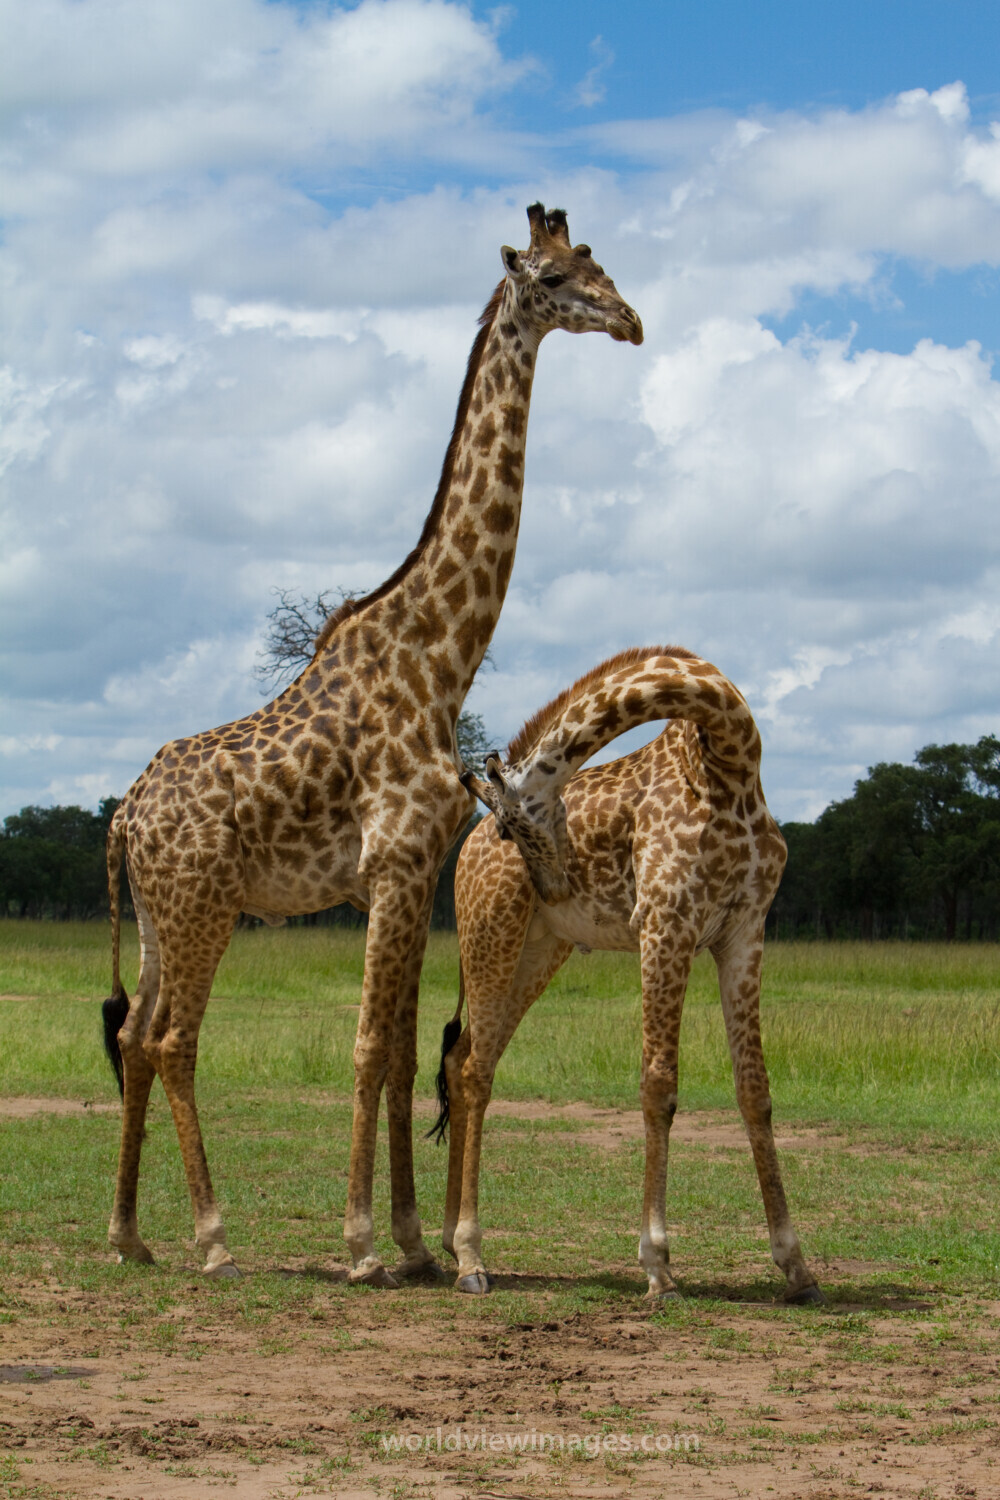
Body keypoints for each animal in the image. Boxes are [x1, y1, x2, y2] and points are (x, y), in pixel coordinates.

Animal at [101, 204, 642, 1285]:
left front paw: (415, 1241)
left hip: (157, 913)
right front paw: (359, 1244)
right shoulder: (392, 865)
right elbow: (363, 1047)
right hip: (203, 908)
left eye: (599, 263)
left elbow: (397, 1049)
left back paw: (131, 1233)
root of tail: (125, 815)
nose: (631, 321)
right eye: (555, 278)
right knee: (174, 1039)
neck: (438, 657)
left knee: (136, 1035)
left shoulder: (412, 873)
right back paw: (212, 1237)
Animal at [434, 647, 822, 1304]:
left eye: (514, 825)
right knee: (476, 1071)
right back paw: (470, 1258)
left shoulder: (745, 930)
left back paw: (446, 1239)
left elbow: (755, 1090)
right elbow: (659, 1085)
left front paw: (795, 1266)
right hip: (493, 935)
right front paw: (658, 1266)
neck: (732, 757)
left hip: (542, 950)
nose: (554, 884)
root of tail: (465, 850)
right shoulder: (665, 922)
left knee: (462, 1059)